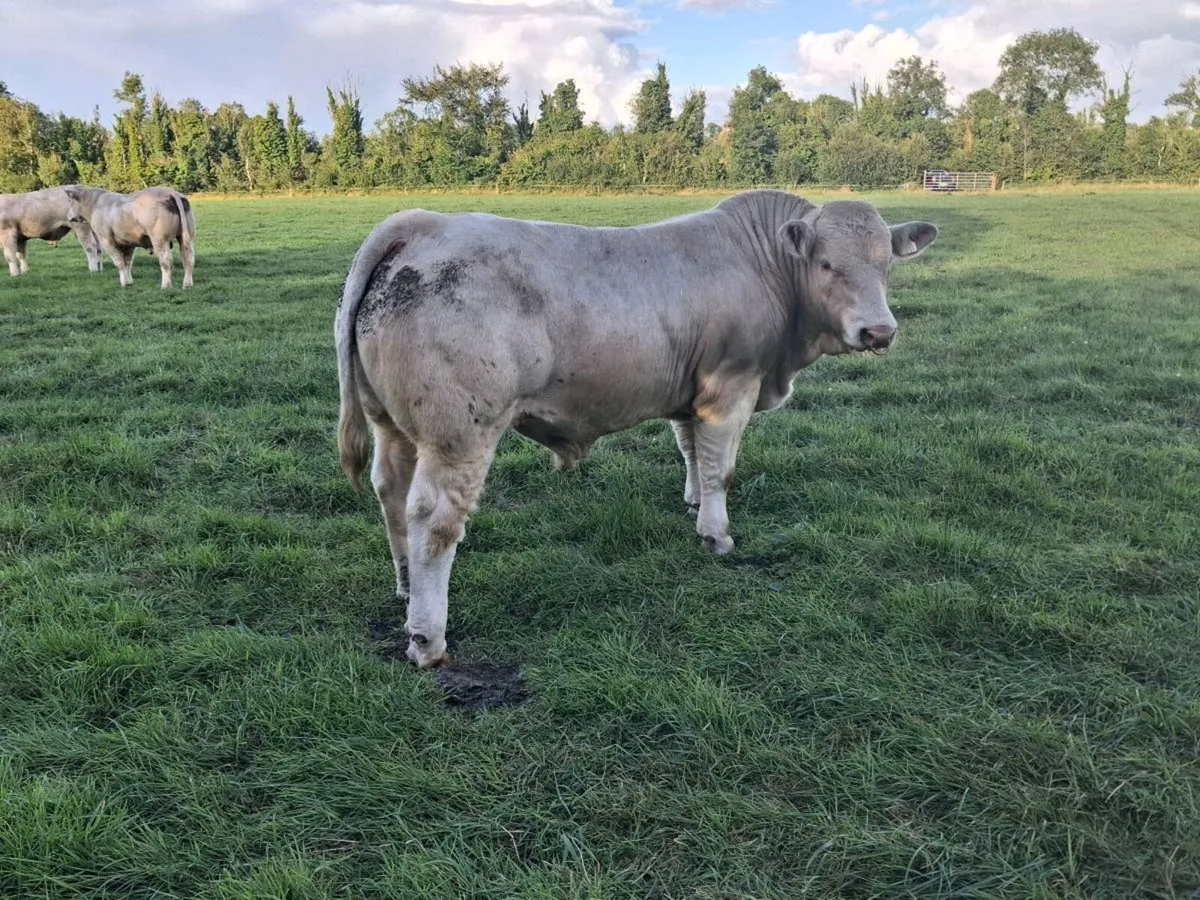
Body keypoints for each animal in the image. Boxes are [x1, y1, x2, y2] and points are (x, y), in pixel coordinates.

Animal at [63, 186, 196, 289]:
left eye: (70, 201)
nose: (68, 216)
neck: (95, 204)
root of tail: (171, 192)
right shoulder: (129, 243)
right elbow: (127, 262)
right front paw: (129, 281)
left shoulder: (106, 240)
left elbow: (119, 262)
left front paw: (125, 283)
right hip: (186, 236)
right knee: (188, 258)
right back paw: (187, 284)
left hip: (159, 239)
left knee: (166, 261)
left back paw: (166, 285)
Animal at [335, 190, 938, 667]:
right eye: (827, 264)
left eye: (885, 263)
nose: (879, 331)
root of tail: (422, 224)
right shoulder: (730, 385)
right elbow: (721, 467)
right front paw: (716, 532)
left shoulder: (689, 393)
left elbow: (691, 450)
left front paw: (693, 503)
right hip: (459, 432)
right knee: (434, 521)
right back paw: (427, 636)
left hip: (392, 425)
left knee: (391, 493)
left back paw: (405, 585)